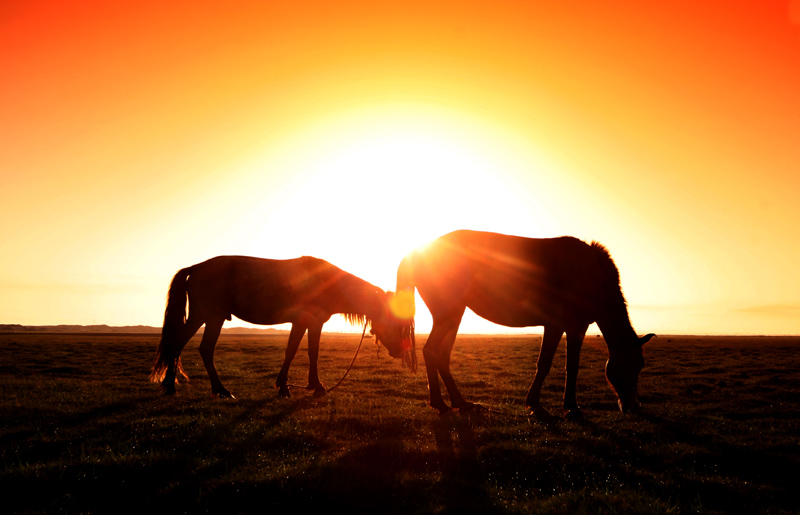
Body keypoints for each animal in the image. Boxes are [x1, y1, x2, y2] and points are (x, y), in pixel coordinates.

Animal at [149, 256, 416, 400]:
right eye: (396, 322)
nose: (400, 352)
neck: (326, 284)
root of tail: (196, 268)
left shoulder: (300, 323)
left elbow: (291, 350)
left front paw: (285, 386)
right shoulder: (314, 322)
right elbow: (311, 352)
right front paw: (316, 387)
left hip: (202, 317)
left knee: (183, 344)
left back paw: (174, 385)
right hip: (211, 317)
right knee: (200, 348)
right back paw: (214, 389)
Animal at [390, 231, 652, 420]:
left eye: (640, 366)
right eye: (629, 365)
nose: (632, 406)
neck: (588, 273)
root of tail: (417, 253)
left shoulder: (575, 327)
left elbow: (571, 366)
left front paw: (567, 407)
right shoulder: (559, 325)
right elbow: (546, 364)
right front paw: (541, 405)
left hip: (453, 316)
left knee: (441, 355)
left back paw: (460, 403)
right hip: (449, 314)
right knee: (432, 352)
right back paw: (441, 404)